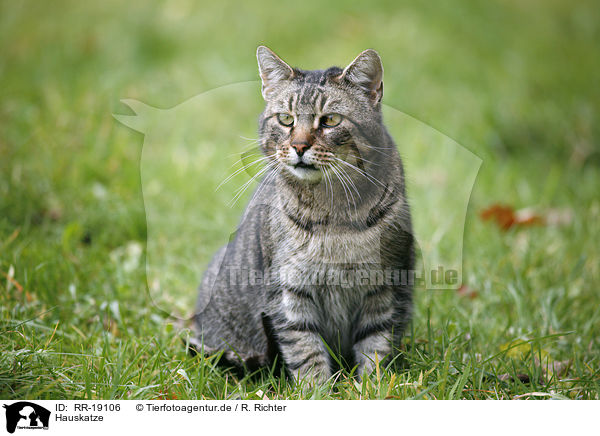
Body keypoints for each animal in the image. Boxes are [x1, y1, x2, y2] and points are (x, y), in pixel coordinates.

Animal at [192, 46, 412, 384]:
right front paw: (316, 390)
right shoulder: (288, 291)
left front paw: (372, 387)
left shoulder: (386, 286)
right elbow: (305, 350)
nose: (298, 146)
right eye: (286, 119)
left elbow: (377, 347)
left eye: (330, 120)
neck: (334, 209)